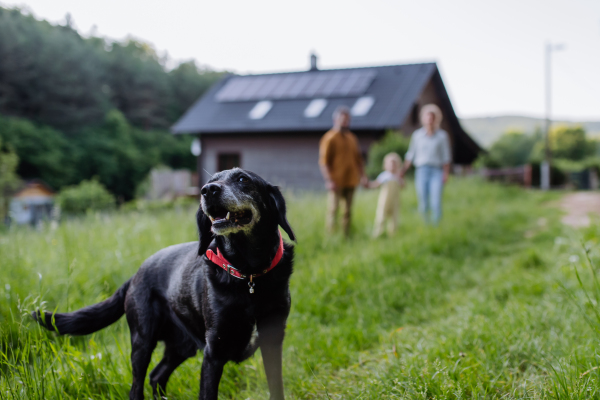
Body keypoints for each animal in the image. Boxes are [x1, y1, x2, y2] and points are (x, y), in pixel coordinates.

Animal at [32, 169, 296, 400]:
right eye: (211, 181)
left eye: (243, 179)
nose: (207, 190)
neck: (248, 274)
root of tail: (136, 273)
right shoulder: (213, 353)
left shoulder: (273, 339)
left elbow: (277, 389)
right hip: (142, 341)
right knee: (137, 386)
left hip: (181, 345)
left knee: (157, 375)